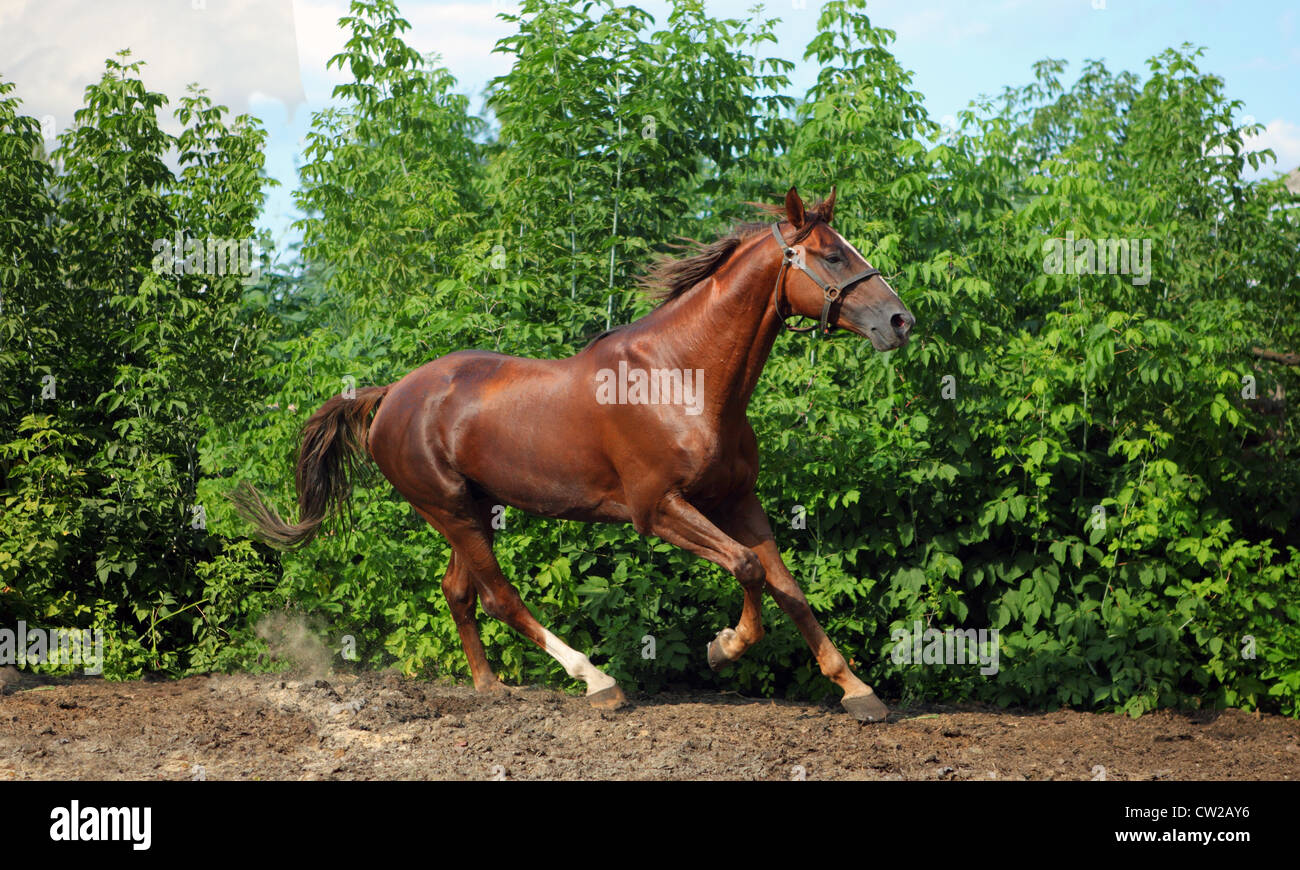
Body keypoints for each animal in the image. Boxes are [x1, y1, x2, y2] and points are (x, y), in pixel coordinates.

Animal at [239, 188, 920, 717]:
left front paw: (858, 692)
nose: (900, 321)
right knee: (499, 596)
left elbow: (787, 587)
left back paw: (490, 687)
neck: (683, 378)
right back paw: (597, 682)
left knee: (459, 591)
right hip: (450, 509)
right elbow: (749, 569)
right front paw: (723, 647)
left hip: (472, 511)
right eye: (831, 254)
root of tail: (388, 396)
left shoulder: (737, 500)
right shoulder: (658, 509)